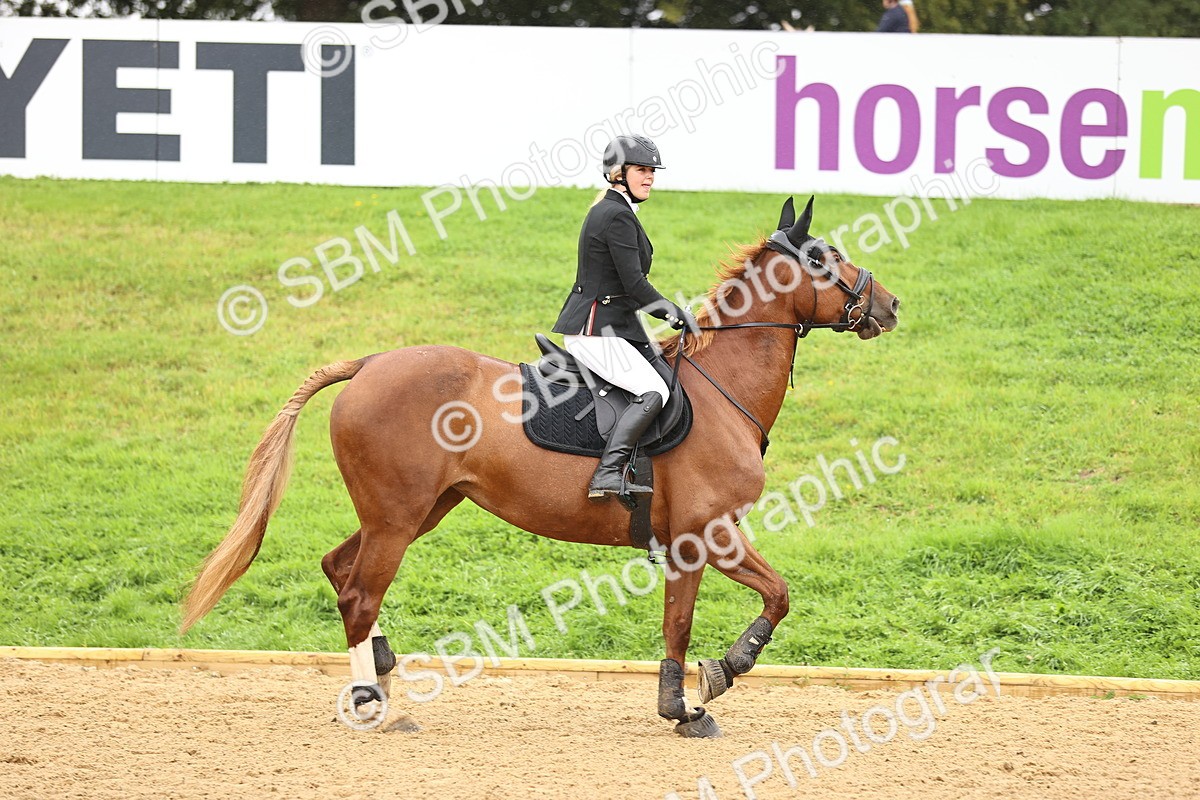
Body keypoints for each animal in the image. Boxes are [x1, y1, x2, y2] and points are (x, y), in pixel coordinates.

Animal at [180, 195, 900, 736]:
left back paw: (381, 672)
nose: (888, 306)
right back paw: (370, 705)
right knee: (360, 592)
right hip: (397, 517)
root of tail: (369, 364)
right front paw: (711, 684)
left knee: (340, 570)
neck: (719, 390)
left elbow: (718, 610)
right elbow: (744, 605)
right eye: (822, 259)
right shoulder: (705, 535)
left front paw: (689, 697)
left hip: (419, 510)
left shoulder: (693, 541)